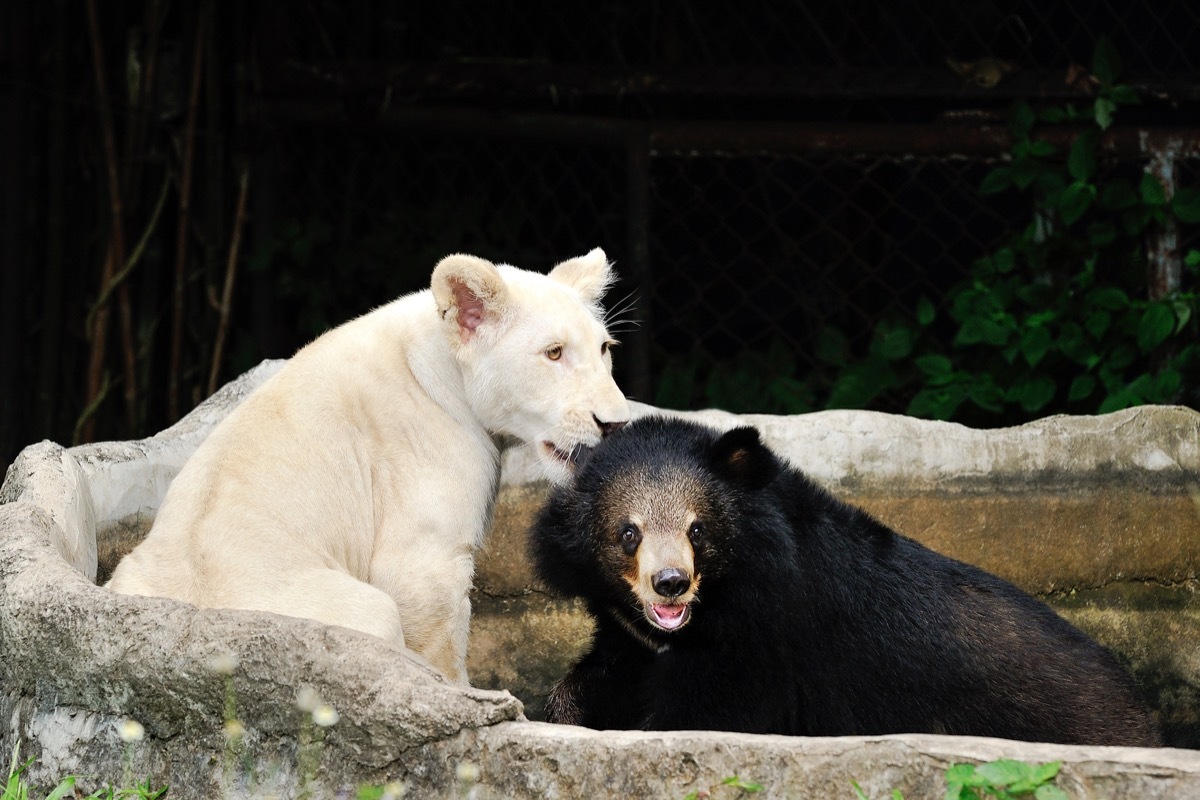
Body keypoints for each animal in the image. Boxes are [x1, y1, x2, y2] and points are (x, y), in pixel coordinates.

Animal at [107, 249, 630, 684]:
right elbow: (438, 635)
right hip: (354, 609)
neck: (439, 368)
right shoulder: (422, 538)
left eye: (604, 348)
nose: (615, 424)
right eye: (554, 352)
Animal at [529, 415, 1162, 745]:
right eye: (628, 532)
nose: (670, 584)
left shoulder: (765, 640)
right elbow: (599, 675)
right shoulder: (631, 632)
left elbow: (708, 715)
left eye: (698, 528)